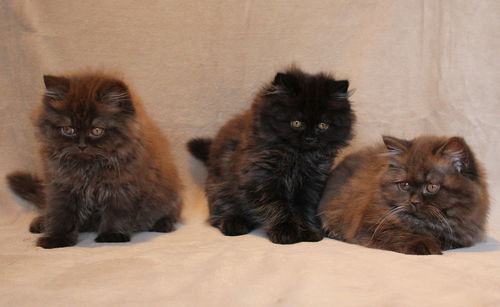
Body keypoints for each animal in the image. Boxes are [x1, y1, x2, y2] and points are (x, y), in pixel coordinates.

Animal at [5, 73, 182, 250]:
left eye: (97, 131)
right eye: (68, 129)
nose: (81, 145)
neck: (88, 169)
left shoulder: (123, 187)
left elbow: (117, 213)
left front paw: (112, 235)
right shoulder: (61, 186)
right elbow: (61, 215)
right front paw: (56, 238)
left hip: (167, 199)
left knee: (169, 214)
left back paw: (162, 224)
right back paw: (41, 223)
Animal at [188, 68, 356, 245]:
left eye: (323, 125)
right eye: (296, 123)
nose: (310, 138)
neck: (298, 158)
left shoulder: (310, 184)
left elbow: (304, 209)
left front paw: (309, 231)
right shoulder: (261, 180)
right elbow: (277, 207)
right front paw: (287, 232)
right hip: (220, 184)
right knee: (220, 209)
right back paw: (234, 223)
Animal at [320, 135, 488, 255]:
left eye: (432, 187)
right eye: (405, 185)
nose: (414, 201)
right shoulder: (370, 225)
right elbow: (400, 234)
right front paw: (425, 245)